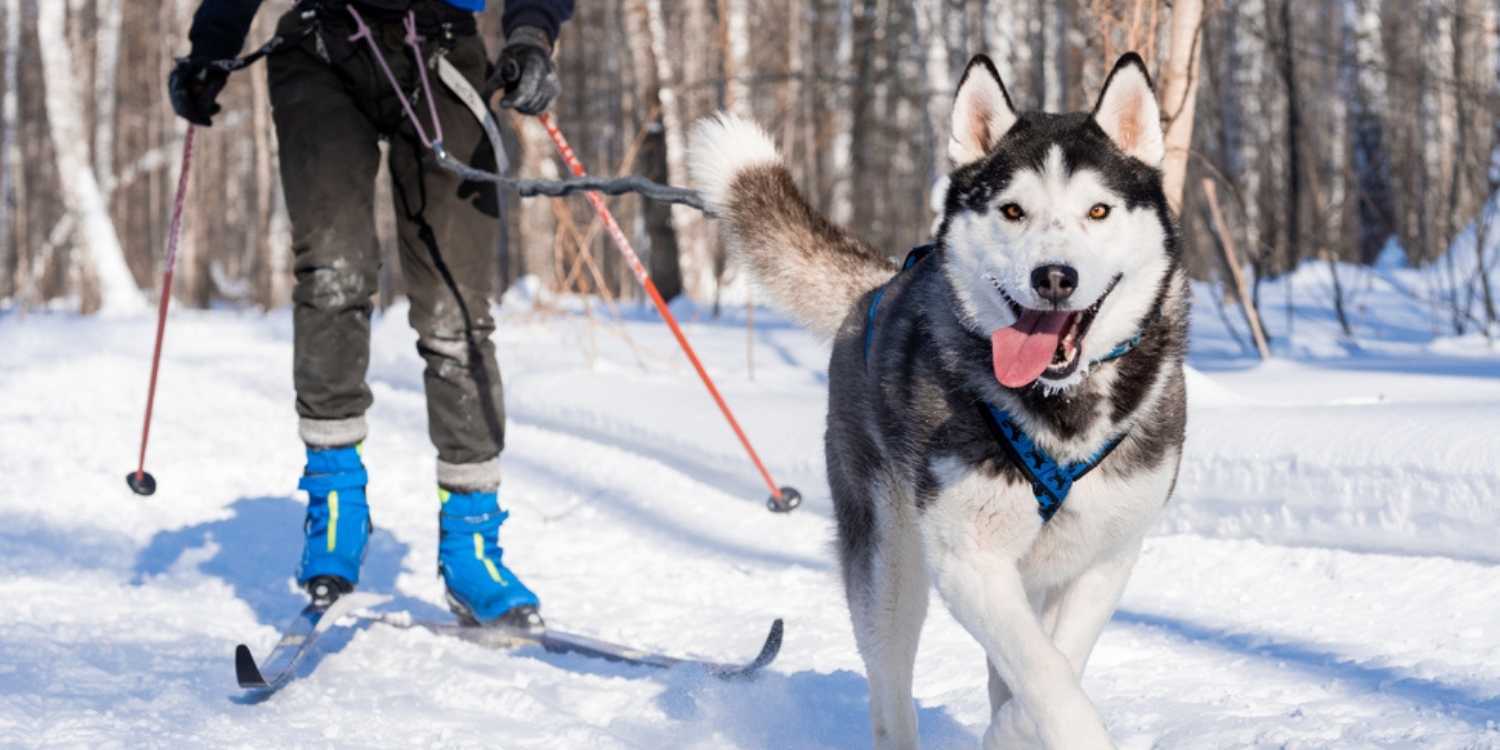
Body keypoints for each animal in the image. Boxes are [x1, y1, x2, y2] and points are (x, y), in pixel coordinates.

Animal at [687, 51, 1188, 744]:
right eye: (1012, 211)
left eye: (1098, 211)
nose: (1054, 278)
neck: (1059, 409)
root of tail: (874, 289)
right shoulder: (967, 560)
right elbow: (1047, 679)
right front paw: (1026, 729)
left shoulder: (1106, 559)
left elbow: (1051, 665)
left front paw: (1010, 731)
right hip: (889, 569)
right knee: (890, 688)